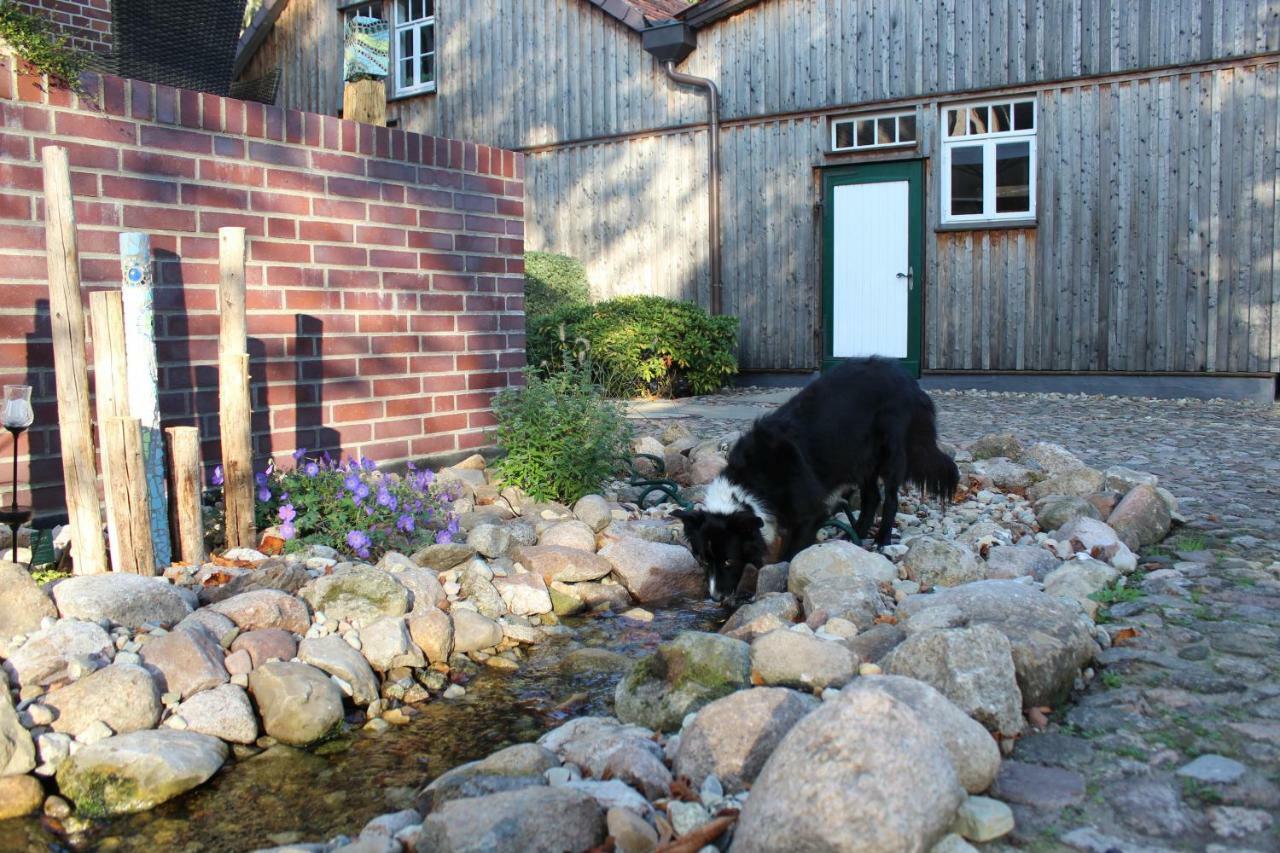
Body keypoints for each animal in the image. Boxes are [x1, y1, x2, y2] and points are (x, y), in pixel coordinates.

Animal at [675, 356, 957, 601]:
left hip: (890, 451)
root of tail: (907, 379)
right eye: (703, 560)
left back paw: (882, 541)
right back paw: (853, 537)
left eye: (728, 560)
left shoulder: (809, 514)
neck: (752, 479)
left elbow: (791, 552)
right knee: (871, 498)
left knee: (889, 499)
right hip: (859, 457)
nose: (715, 598)